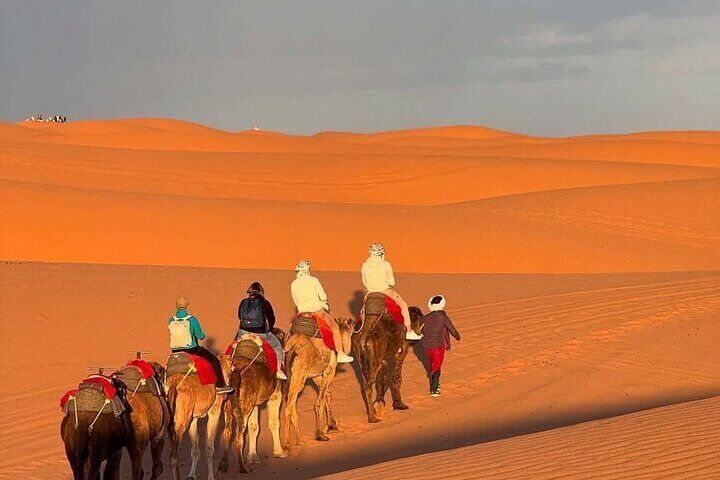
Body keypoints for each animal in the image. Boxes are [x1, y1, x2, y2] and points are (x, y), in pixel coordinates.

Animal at [219, 328, 288, 474]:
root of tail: (236, 372)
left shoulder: (254, 402)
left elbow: (254, 426)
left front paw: (253, 458)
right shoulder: (275, 395)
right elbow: (274, 422)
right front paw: (280, 452)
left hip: (230, 405)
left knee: (227, 432)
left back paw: (224, 464)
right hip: (244, 406)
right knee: (239, 435)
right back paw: (242, 467)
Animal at [282, 315, 355, 447]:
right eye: (350, 325)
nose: (355, 326)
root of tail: (293, 347)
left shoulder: (315, 375)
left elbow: (327, 394)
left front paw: (331, 425)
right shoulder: (330, 369)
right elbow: (319, 401)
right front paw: (321, 434)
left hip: (292, 379)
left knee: (291, 403)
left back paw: (299, 442)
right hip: (299, 377)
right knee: (288, 407)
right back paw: (286, 445)